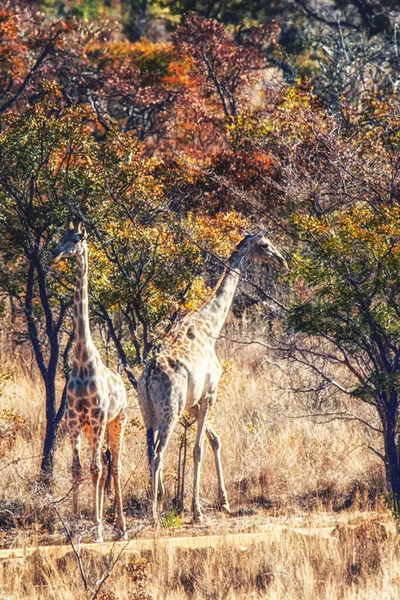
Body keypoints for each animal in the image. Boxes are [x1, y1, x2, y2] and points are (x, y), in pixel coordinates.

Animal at [138, 232, 288, 524]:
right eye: (265, 245)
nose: (282, 260)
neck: (210, 327)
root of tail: (148, 377)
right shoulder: (210, 394)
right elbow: (198, 450)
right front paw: (197, 511)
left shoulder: (195, 404)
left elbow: (215, 439)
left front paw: (224, 502)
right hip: (170, 410)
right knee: (158, 453)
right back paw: (154, 514)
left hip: (148, 411)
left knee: (148, 450)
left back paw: (152, 504)